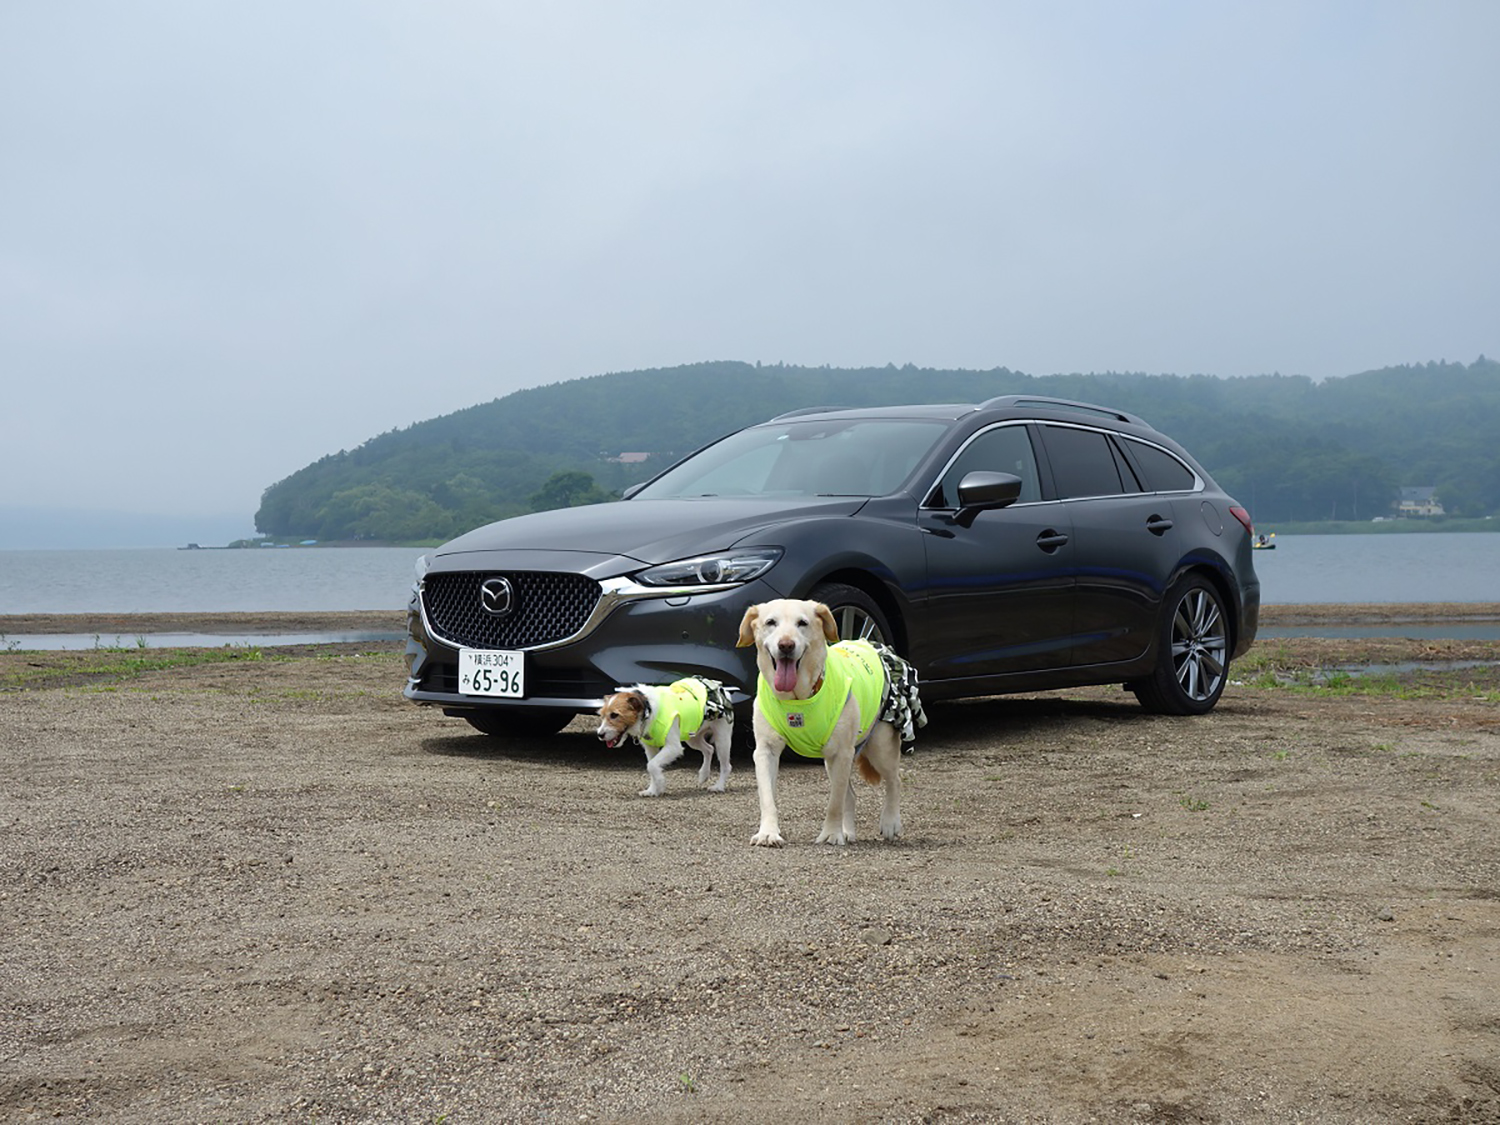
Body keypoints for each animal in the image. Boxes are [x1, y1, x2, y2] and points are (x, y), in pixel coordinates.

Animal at [732, 600, 918, 846]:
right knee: (851, 795)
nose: (786, 645)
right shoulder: (766, 750)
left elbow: (834, 803)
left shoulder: (841, 751)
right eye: (770, 622)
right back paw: (848, 831)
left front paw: (831, 833)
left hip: (879, 746)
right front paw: (768, 833)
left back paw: (890, 822)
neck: (797, 698)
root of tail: (869, 644)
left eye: (802, 623)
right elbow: (767, 798)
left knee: (893, 780)